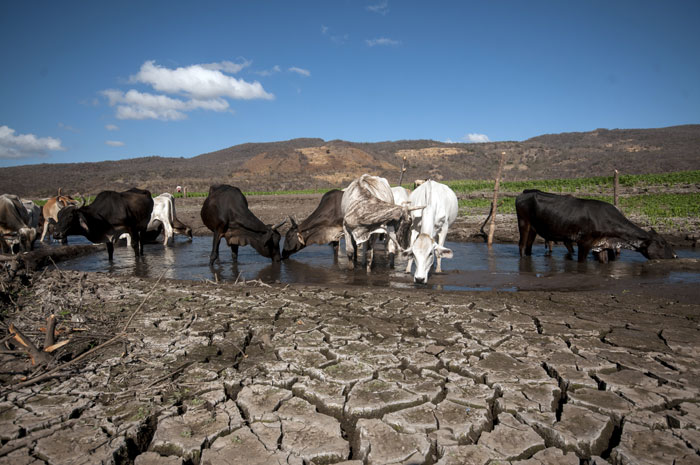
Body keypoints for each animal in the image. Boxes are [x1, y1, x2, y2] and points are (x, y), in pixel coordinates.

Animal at [516, 188, 676, 260]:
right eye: (662, 243)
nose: (675, 255)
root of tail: (525, 192)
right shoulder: (584, 243)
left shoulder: (601, 246)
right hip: (524, 223)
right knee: (522, 245)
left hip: (534, 229)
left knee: (529, 246)